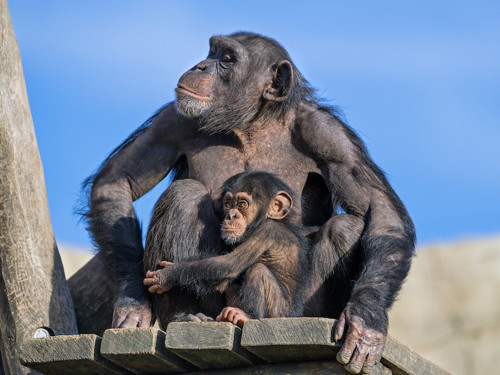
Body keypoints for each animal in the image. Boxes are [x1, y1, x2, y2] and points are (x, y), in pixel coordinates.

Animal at [142, 172, 312, 330]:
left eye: (242, 205)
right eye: (229, 204)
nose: (231, 215)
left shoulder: (266, 232)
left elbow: (230, 264)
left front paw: (166, 275)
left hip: (278, 313)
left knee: (258, 270)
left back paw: (245, 316)